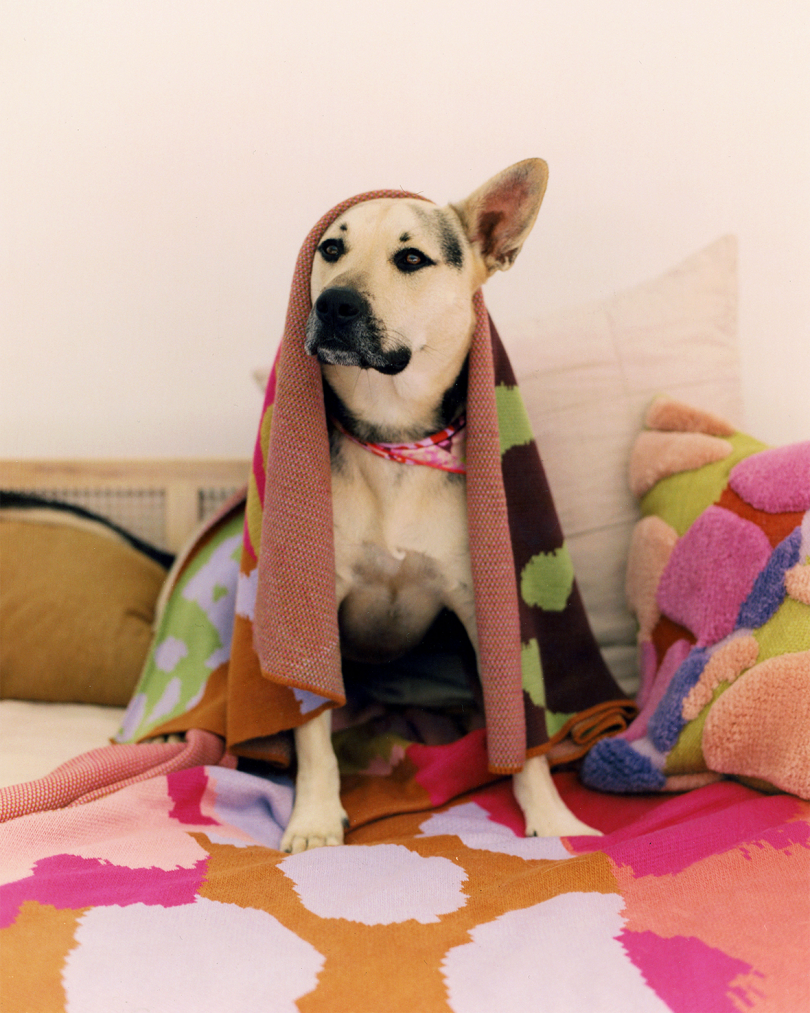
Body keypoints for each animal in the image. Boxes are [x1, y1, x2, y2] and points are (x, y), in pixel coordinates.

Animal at [279, 160, 599, 854]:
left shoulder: (484, 605)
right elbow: (312, 727)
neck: (395, 436)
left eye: (411, 258)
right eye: (331, 250)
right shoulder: (312, 606)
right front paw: (313, 817)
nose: (333, 303)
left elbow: (522, 724)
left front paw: (551, 816)